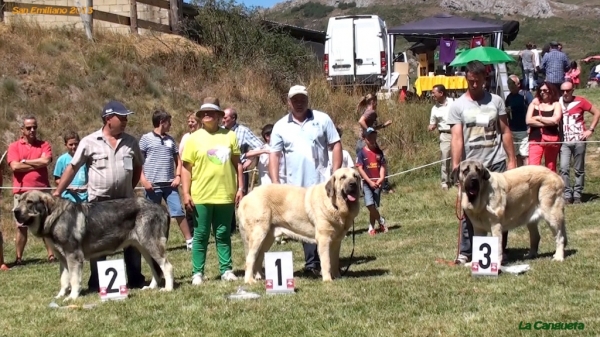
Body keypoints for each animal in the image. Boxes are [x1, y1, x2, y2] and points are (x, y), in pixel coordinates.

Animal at [12, 190, 175, 300]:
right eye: (19, 201)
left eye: (29, 202)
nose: (15, 211)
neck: (54, 217)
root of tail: (161, 208)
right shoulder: (63, 260)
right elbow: (64, 280)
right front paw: (60, 296)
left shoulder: (73, 256)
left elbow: (74, 279)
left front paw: (72, 297)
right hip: (143, 247)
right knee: (155, 268)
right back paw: (151, 287)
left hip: (150, 244)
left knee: (166, 266)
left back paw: (168, 289)